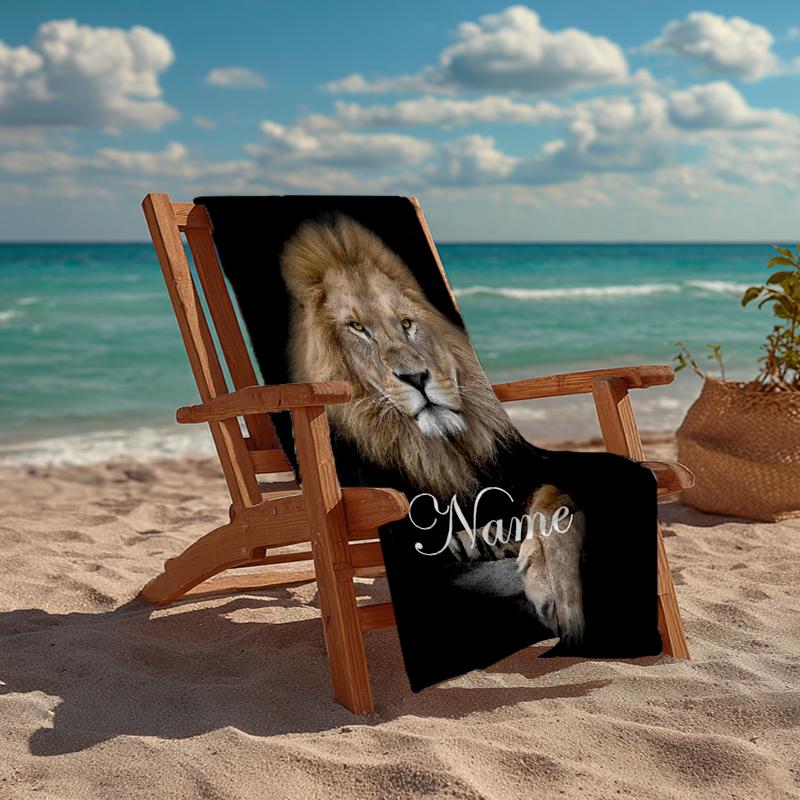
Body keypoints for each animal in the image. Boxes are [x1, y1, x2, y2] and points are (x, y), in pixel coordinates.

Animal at [280, 214, 586, 645]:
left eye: (407, 324)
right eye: (357, 327)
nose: (416, 377)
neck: (433, 447)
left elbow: (552, 498)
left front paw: (552, 584)